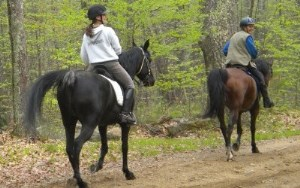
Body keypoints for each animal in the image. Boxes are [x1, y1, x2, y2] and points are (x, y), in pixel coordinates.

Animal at [24, 40, 155, 188]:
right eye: (149, 59)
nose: (151, 81)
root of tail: (72, 77)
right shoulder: (124, 124)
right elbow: (124, 147)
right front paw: (127, 172)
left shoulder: (102, 124)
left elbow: (104, 146)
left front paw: (96, 167)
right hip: (89, 124)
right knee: (77, 145)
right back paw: (81, 181)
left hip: (69, 122)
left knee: (69, 147)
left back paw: (75, 178)